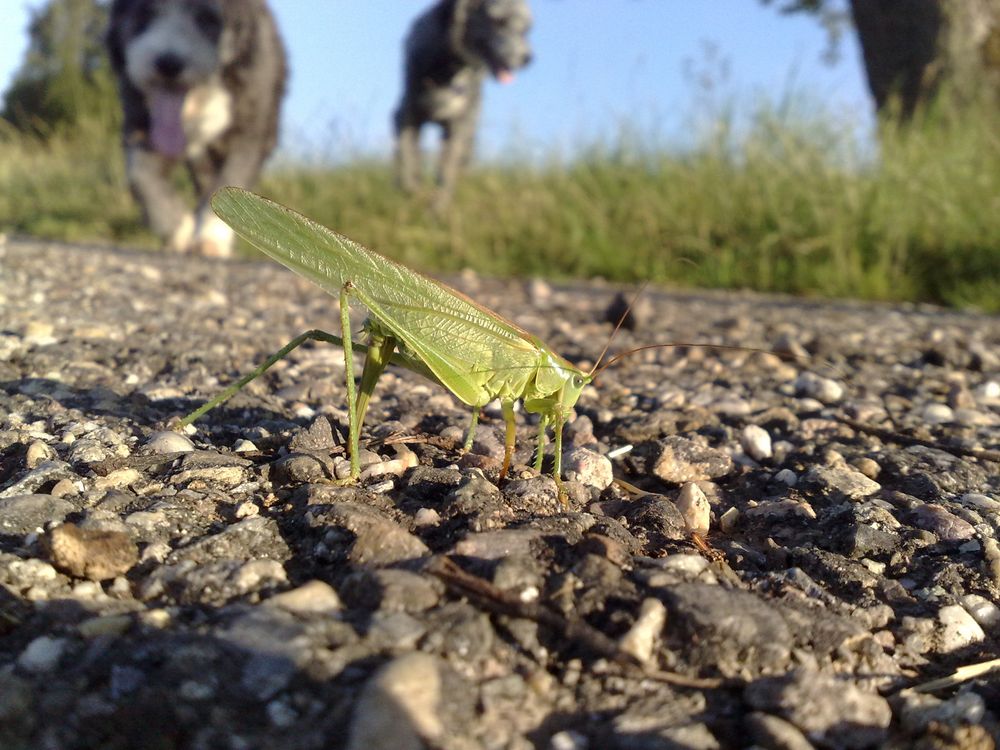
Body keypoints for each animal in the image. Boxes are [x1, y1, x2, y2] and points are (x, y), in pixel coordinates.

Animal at [106, 0, 286, 258]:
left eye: (206, 18)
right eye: (144, 13)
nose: (168, 63)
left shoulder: (248, 135)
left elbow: (228, 184)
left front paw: (210, 237)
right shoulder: (141, 124)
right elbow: (140, 176)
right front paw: (179, 230)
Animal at [392, 0, 532, 209]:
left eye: (526, 30)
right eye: (499, 21)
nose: (528, 58)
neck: (448, 69)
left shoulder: (458, 125)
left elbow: (446, 173)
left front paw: (438, 208)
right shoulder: (405, 115)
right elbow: (408, 161)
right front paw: (414, 193)